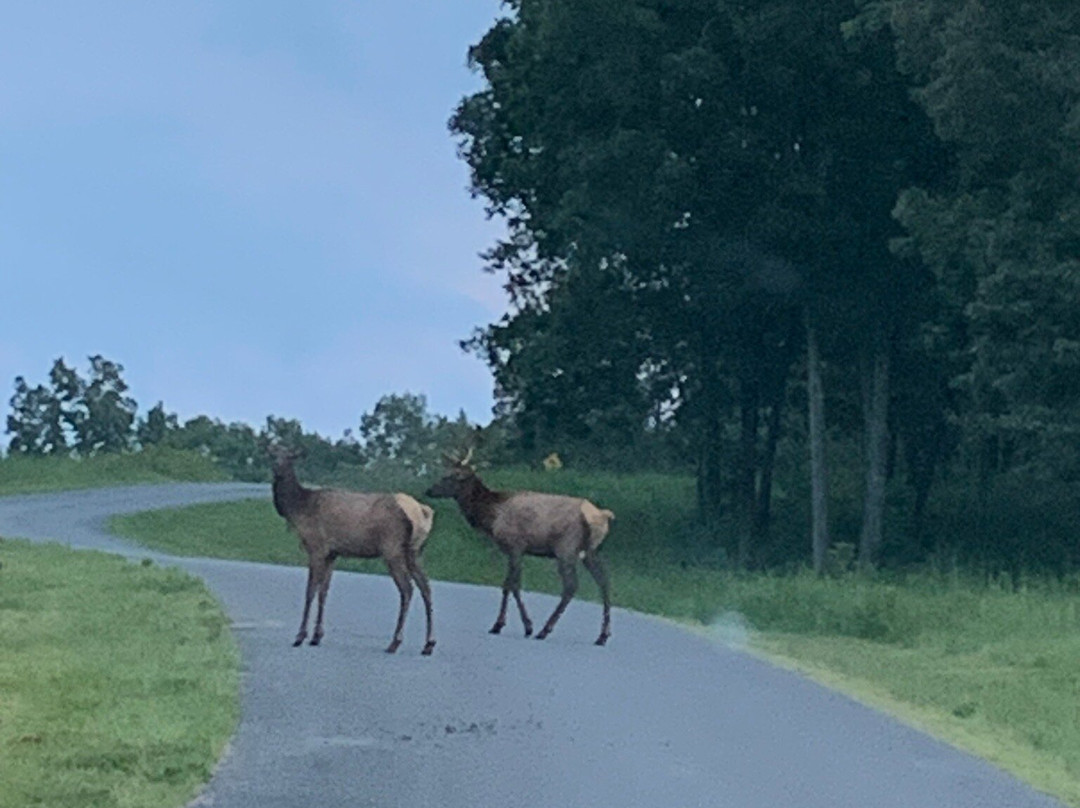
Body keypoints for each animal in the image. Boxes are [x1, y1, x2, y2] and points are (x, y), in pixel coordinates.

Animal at [268, 445, 436, 655]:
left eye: (289, 457)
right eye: (272, 454)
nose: (277, 466)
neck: (299, 509)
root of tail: (422, 512)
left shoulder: (316, 547)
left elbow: (310, 591)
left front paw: (300, 636)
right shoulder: (332, 553)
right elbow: (324, 592)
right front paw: (317, 636)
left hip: (392, 548)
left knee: (407, 588)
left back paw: (395, 642)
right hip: (415, 551)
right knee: (426, 586)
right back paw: (428, 644)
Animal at [425, 449, 614, 646]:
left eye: (449, 476)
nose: (429, 490)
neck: (492, 516)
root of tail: (603, 516)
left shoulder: (515, 546)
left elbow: (513, 585)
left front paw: (522, 626)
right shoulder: (514, 550)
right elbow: (507, 584)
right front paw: (502, 624)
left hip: (566, 548)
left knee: (571, 586)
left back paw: (544, 630)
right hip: (590, 551)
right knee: (604, 580)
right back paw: (602, 635)